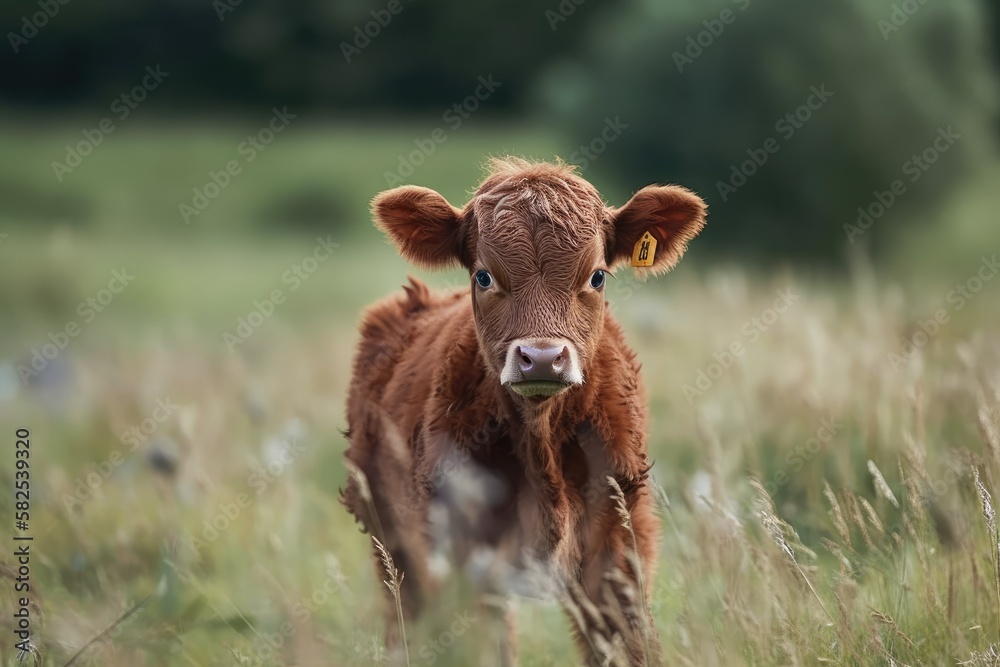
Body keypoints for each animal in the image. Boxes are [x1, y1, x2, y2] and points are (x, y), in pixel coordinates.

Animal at [340, 158, 708, 667]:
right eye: (483, 276)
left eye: (596, 276)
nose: (542, 357)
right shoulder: (459, 554)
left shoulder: (619, 544)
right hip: (389, 540)